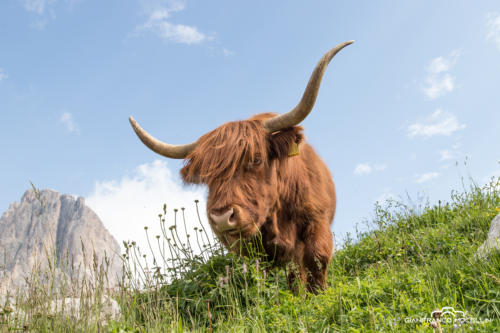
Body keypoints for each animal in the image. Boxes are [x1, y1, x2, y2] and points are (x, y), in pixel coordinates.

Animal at [130, 40, 356, 292]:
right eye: (206, 176)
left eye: (256, 159)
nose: (221, 217)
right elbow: (265, 274)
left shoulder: (316, 222)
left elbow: (316, 260)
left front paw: (318, 294)